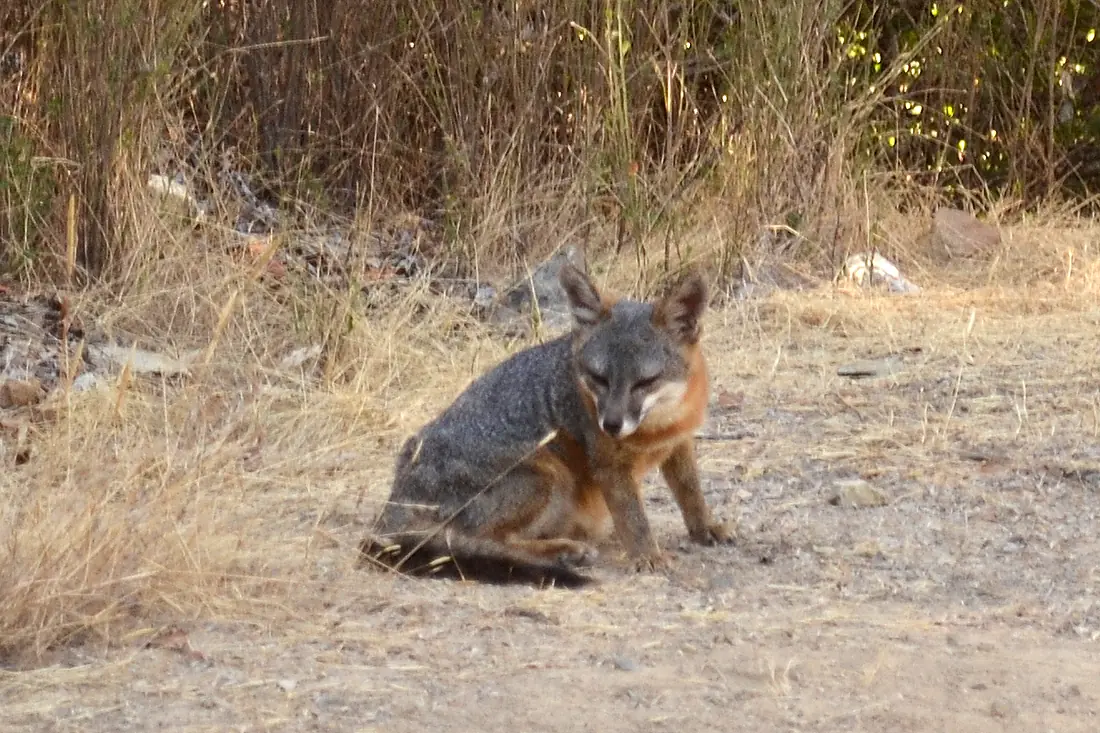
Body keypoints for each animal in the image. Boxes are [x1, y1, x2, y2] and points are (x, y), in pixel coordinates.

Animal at [359, 262, 734, 587]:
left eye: (645, 382)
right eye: (598, 378)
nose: (611, 425)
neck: (660, 424)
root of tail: (397, 496)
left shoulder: (680, 442)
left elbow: (690, 491)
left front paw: (705, 526)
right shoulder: (609, 466)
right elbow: (634, 517)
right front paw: (647, 555)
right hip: (547, 473)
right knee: (479, 542)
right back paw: (562, 550)